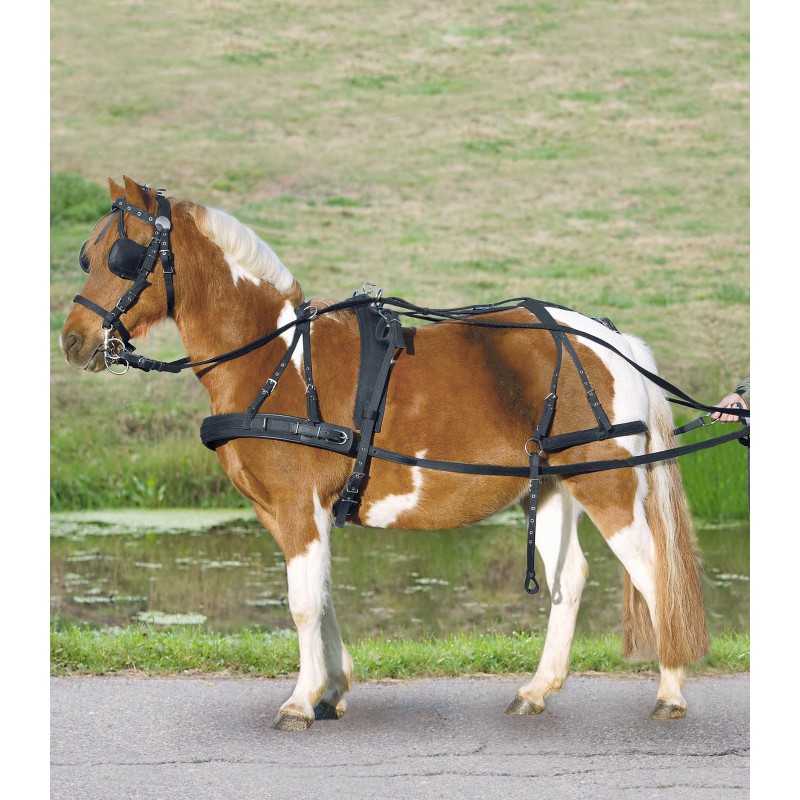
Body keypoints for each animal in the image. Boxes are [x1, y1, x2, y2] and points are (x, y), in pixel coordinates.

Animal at [60, 177, 710, 731]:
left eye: (123, 256)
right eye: (88, 255)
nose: (72, 341)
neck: (273, 359)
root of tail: (613, 341)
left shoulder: (297, 505)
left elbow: (301, 602)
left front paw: (300, 700)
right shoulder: (293, 512)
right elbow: (321, 594)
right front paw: (331, 690)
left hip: (608, 487)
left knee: (654, 571)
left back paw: (671, 689)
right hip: (553, 484)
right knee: (568, 579)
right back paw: (536, 690)